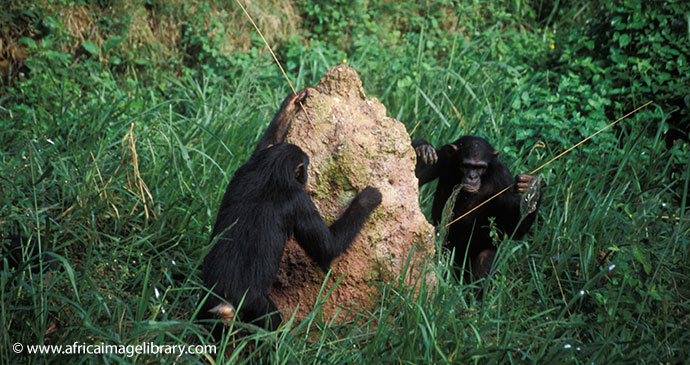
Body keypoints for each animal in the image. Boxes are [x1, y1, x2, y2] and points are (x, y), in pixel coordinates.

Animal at [199, 86, 382, 332]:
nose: (306, 176)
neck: (271, 173)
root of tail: (223, 304)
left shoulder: (246, 168)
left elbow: (264, 145)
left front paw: (293, 102)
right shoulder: (299, 202)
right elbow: (327, 248)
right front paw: (367, 199)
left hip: (203, 304)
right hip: (255, 306)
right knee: (271, 323)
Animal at [412, 136, 540, 282]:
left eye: (480, 167)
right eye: (466, 166)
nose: (472, 177)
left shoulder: (504, 177)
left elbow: (516, 227)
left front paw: (532, 187)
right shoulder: (443, 155)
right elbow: (416, 178)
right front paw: (423, 148)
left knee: (482, 265)